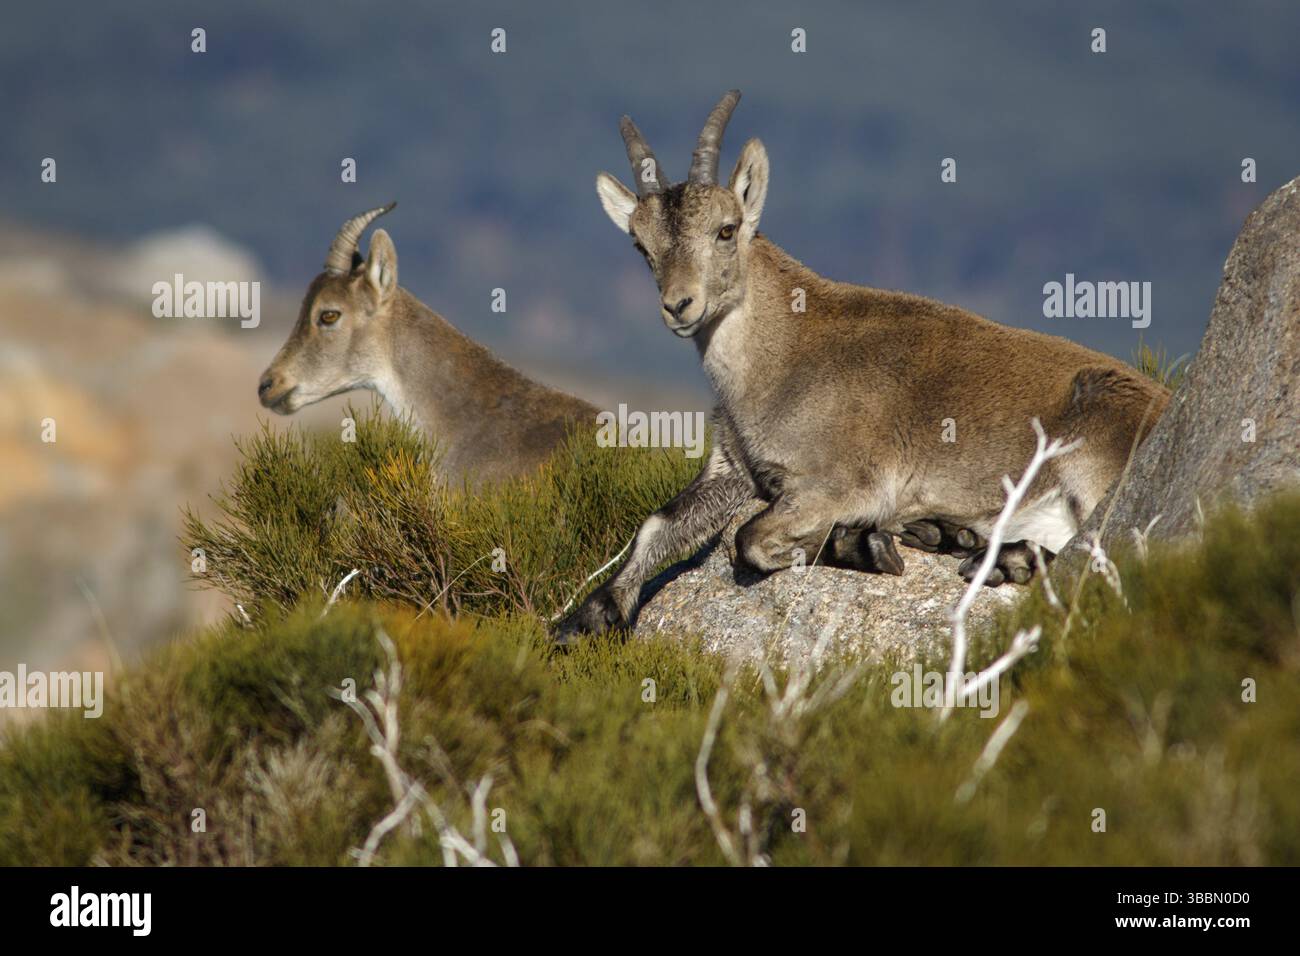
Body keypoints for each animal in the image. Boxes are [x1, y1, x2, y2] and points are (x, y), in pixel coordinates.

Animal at [556, 90, 1168, 641]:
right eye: (641, 246)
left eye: (726, 229)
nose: (680, 305)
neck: (784, 356)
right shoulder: (734, 468)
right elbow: (658, 525)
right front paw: (587, 616)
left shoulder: (844, 481)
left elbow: (750, 540)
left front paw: (864, 547)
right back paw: (961, 540)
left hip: (1097, 451)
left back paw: (989, 556)